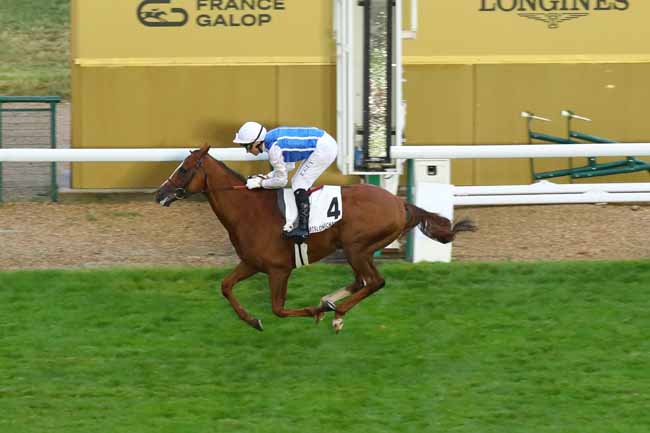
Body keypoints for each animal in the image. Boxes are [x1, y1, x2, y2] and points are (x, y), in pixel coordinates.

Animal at [154, 145, 474, 330]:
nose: (160, 193)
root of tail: (400, 204)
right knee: (361, 281)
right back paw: (331, 302)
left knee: (374, 282)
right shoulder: (252, 263)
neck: (249, 211)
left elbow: (279, 309)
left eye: (184, 169)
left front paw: (315, 311)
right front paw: (253, 320)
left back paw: (336, 311)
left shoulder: (278, 270)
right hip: (359, 250)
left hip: (357, 247)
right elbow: (225, 287)